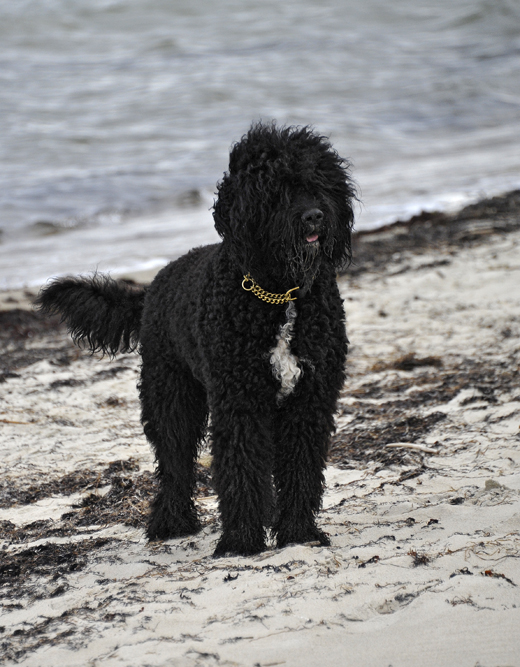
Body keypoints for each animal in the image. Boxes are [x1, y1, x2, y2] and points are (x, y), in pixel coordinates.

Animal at [36, 121, 356, 560]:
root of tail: (153, 286)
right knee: (174, 463)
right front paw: (241, 540)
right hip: (170, 396)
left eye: (319, 182)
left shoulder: (309, 400)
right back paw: (172, 522)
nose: (314, 216)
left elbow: (300, 468)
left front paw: (297, 532)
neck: (280, 296)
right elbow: (240, 469)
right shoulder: (239, 401)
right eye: (274, 189)